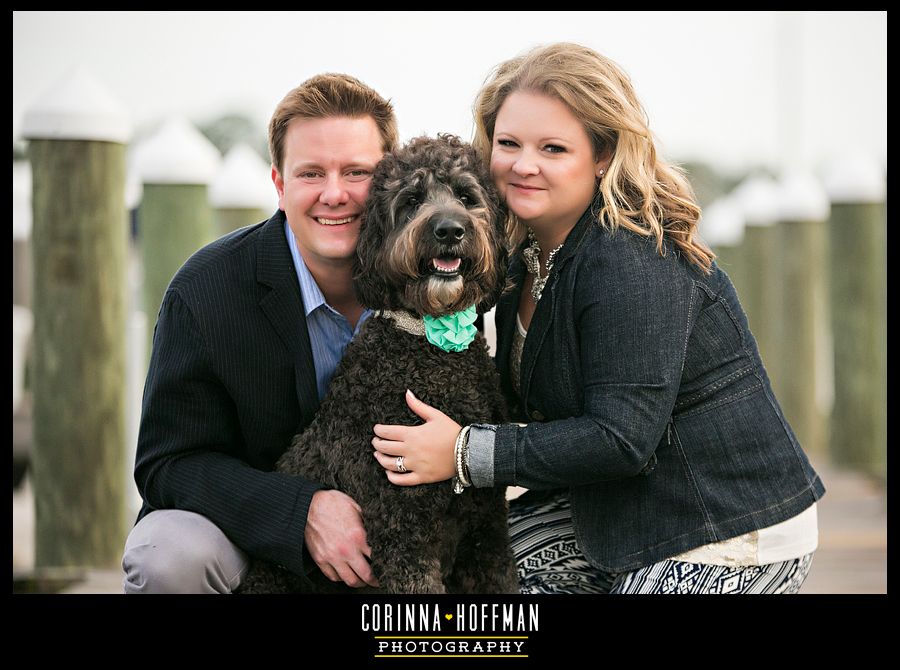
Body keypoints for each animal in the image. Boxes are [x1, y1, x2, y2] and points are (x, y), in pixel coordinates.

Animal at [239, 135, 516, 592]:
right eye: (412, 200)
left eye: (465, 196)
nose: (449, 229)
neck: (429, 344)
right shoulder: (403, 533)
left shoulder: (486, 527)